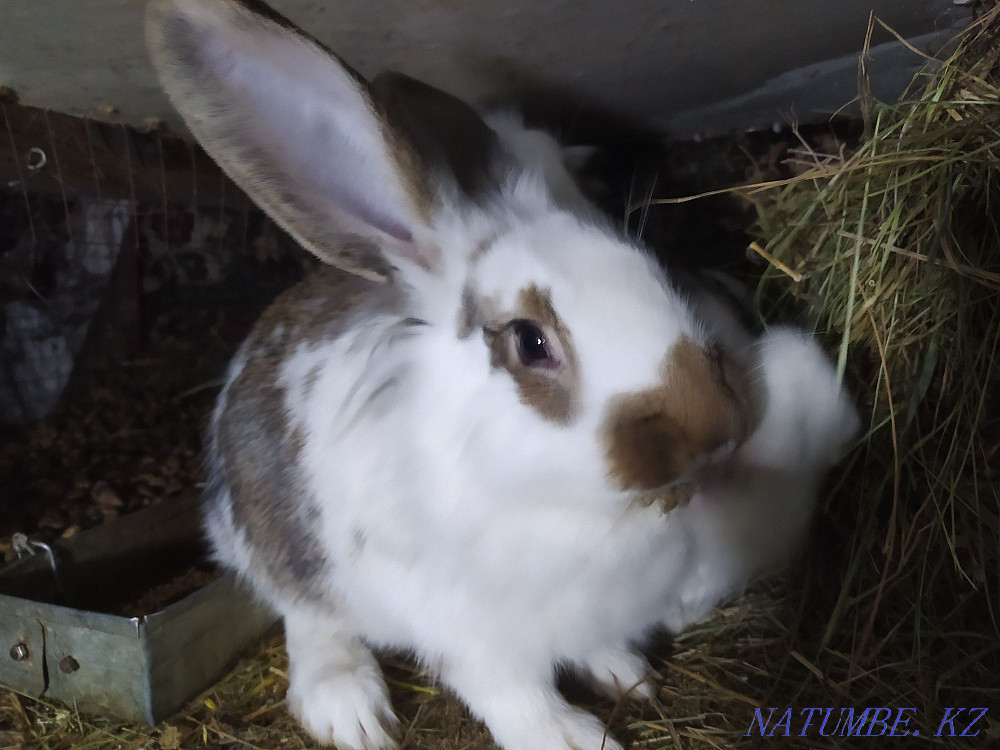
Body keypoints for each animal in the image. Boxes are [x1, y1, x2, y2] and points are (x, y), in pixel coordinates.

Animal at [145, 2, 860, 749]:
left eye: (661, 270)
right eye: (529, 342)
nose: (716, 425)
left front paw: (625, 673)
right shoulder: (473, 634)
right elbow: (513, 694)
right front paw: (576, 738)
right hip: (275, 544)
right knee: (307, 614)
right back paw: (350, 707)